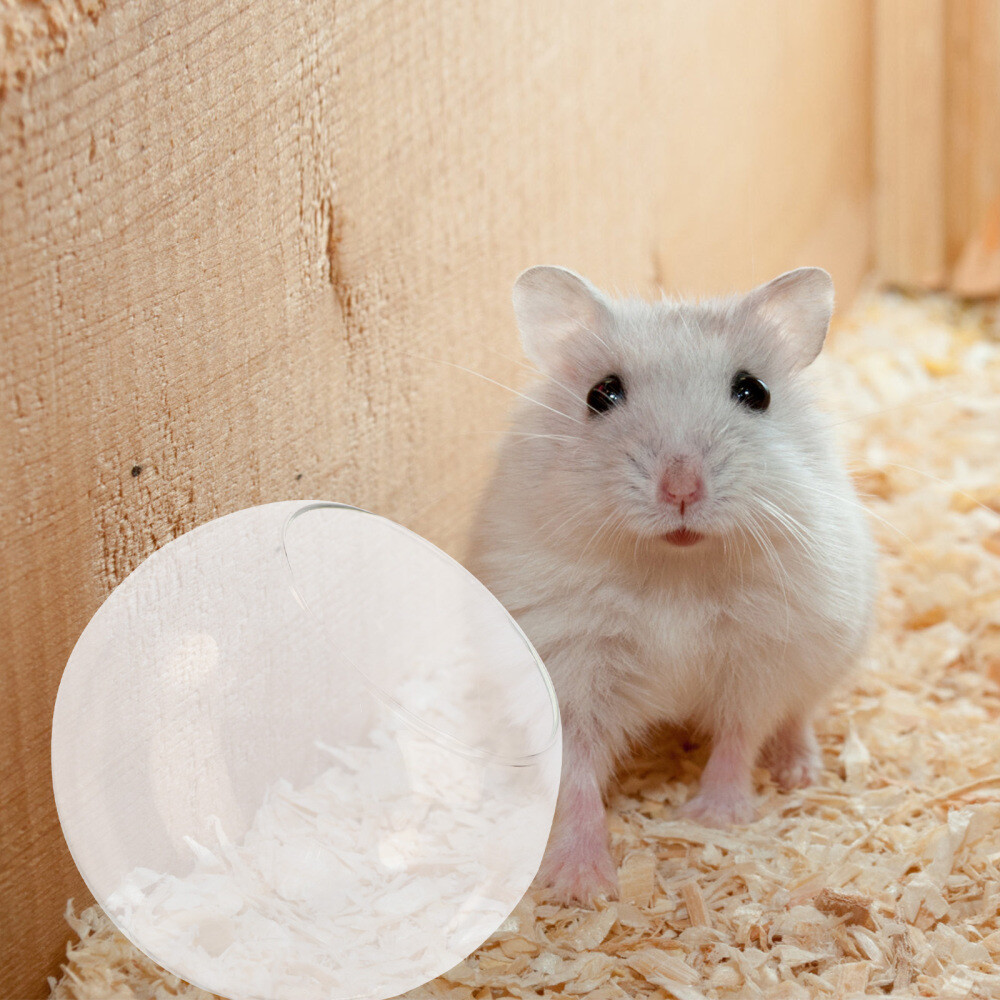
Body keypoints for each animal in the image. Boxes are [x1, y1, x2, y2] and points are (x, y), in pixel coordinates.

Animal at [468, 265, 877, 905]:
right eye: (601, 395)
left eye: (754, 391)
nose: (681, 488)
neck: (676, 570)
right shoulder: (570, 664)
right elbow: (576, 772)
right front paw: (583, 887)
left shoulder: (762, 658)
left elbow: (739, 735)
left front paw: (714, 819)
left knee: (797, 716)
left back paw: (798, 771)